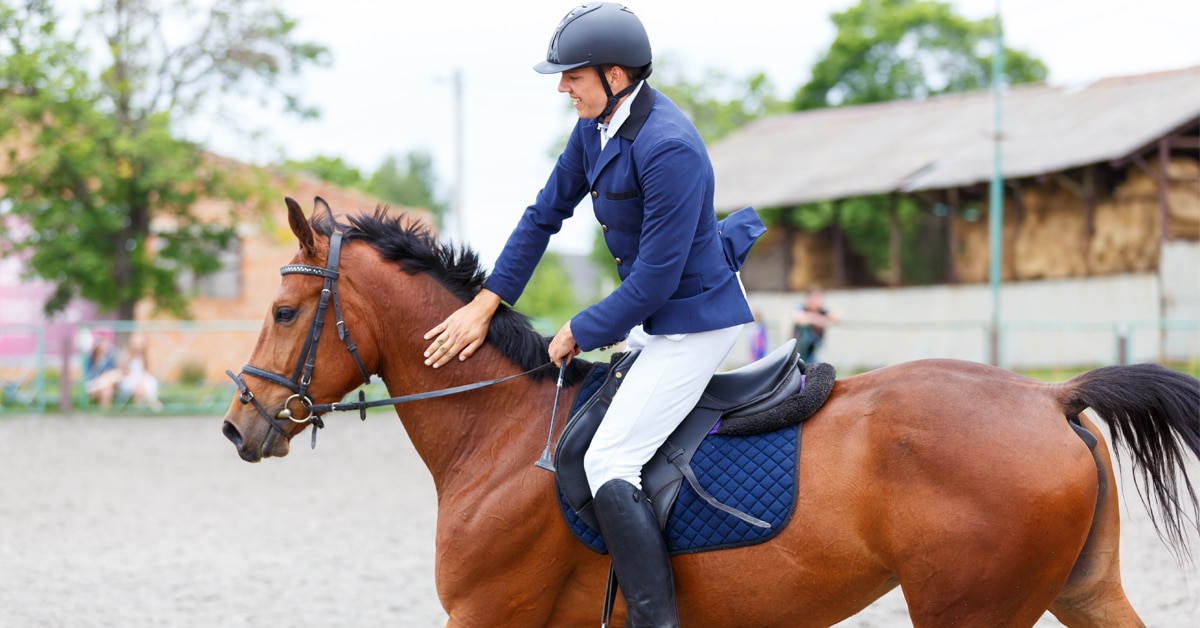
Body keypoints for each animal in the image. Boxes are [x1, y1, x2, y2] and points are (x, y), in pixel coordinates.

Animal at [222, 197, 1199, 627]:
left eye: (282, 312)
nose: (239, 425)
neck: (498, 434)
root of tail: (1051, 395)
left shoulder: (490, 618)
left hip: (973, 614)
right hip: (1083, 591)